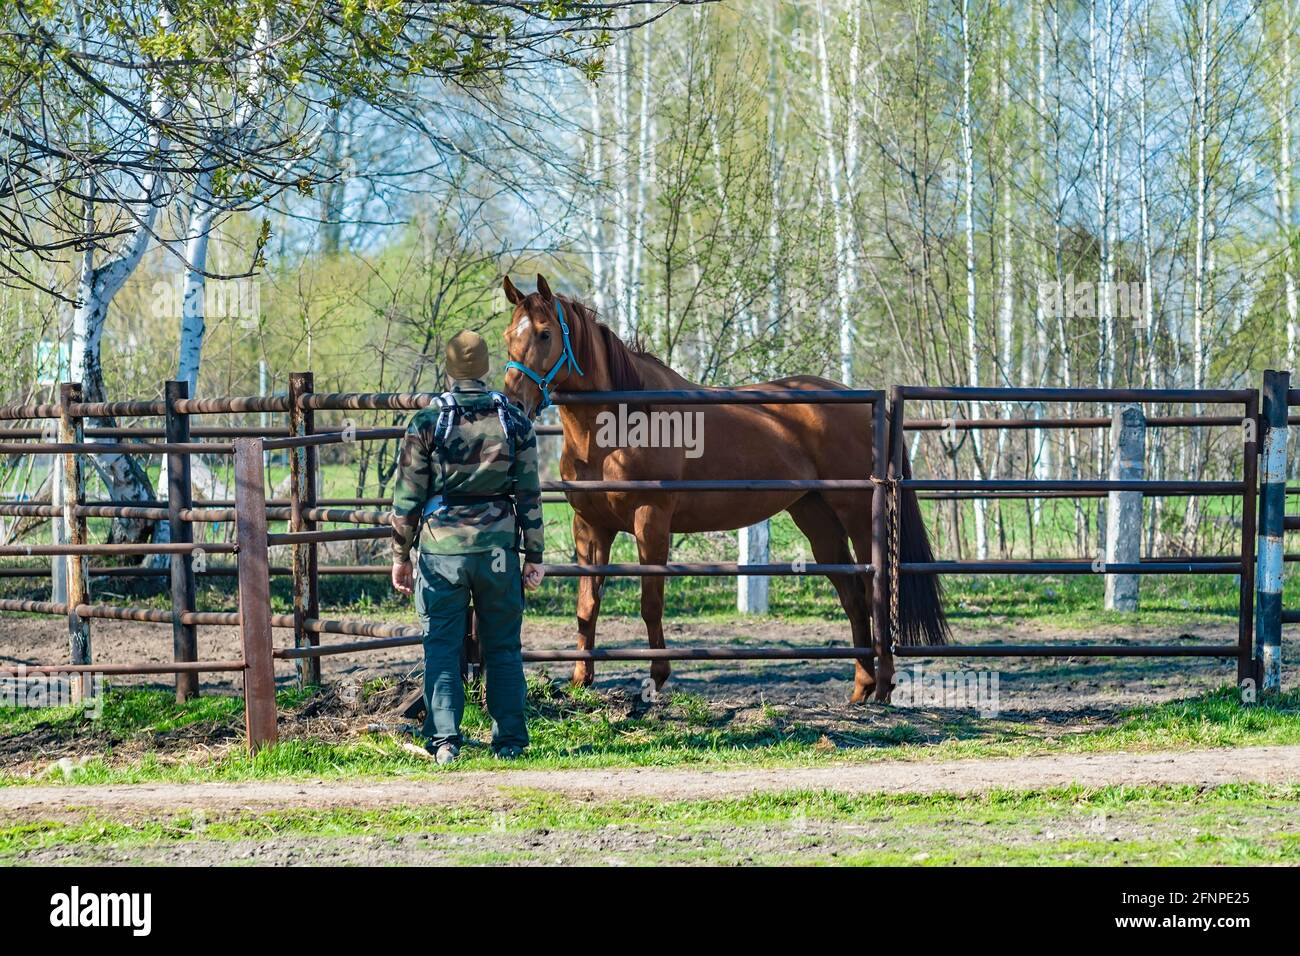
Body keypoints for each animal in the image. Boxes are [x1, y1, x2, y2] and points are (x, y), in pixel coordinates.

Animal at [500, 274, 947, 703]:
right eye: (508, 335)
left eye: (544, 333)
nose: (512, 403)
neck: (622, 421)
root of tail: (867, 404)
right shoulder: (590, 526)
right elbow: (587, 604)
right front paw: (580, 679)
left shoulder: (651, 521)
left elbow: (651, 602)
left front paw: (656, 678)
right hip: (815, 516)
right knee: (852, 594)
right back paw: (861, 688)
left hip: (857, 516)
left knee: (874, 589)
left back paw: (884, 686)